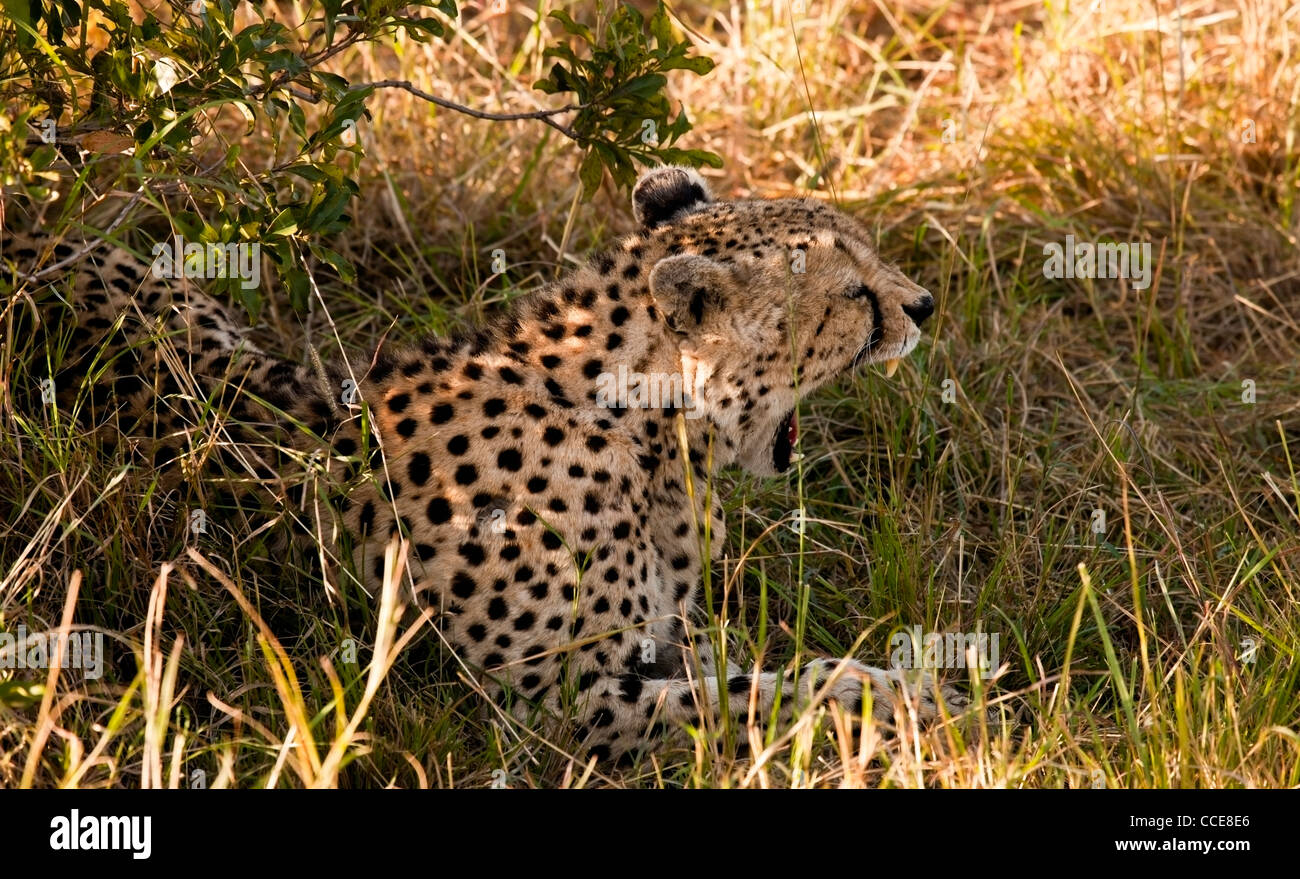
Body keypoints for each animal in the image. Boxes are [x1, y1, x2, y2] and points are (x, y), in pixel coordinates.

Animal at [10, 166, 967, 764]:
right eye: (851, 294)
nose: (924, 304)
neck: (648, 433)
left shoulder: (663, 639)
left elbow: (761, 667)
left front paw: (910, 683)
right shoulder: (557, 705)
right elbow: (760, 697)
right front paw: (917, 703)